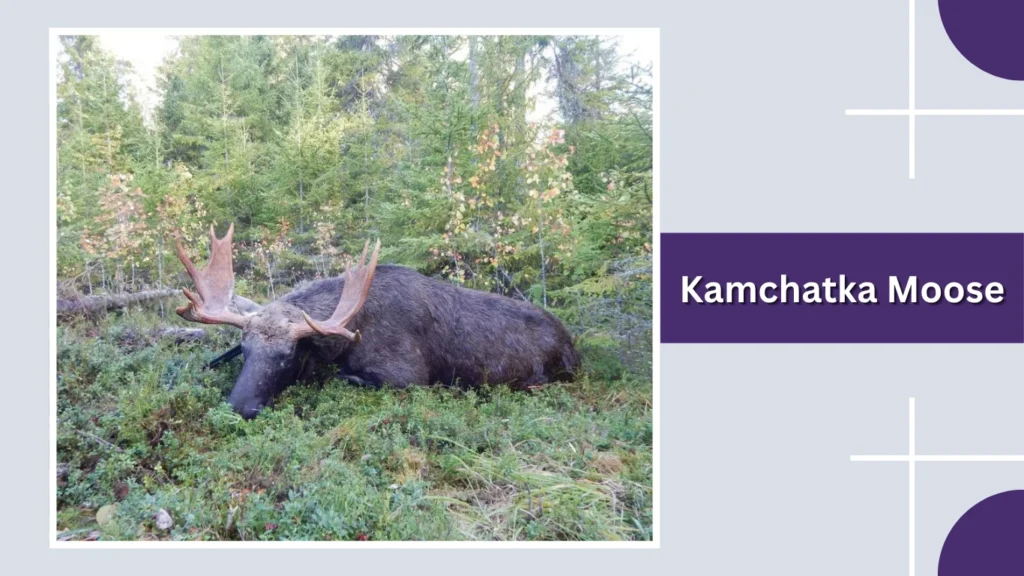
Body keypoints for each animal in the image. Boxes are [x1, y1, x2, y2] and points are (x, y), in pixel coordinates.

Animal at [173, 223, 582, 418]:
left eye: (288, 355)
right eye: (243, 349)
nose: (240, 406)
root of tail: (574, 347)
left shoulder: (408, 377)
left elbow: (346, 377)